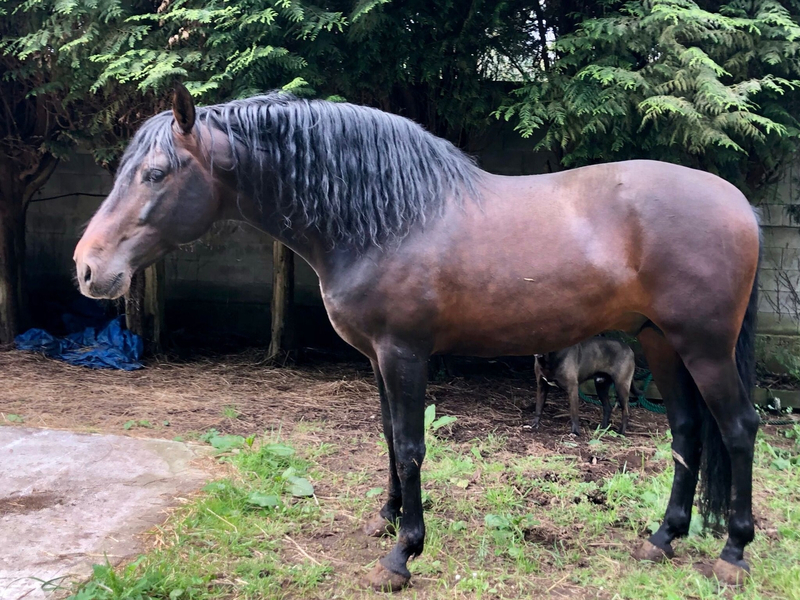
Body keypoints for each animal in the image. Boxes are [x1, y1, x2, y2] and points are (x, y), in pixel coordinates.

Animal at [74, 84, 761, 590]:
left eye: (156, 174)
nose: (87, 268)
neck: (383, 220)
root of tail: (739, 203)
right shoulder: (377, 358)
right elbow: (386, 437)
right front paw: (385, 521)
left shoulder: (405, 354)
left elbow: (409, 445)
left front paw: (403, 554)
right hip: (661, 343)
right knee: (686, 433)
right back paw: (664, 539)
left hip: (703, 348)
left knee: (737, 428)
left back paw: (732, 552)